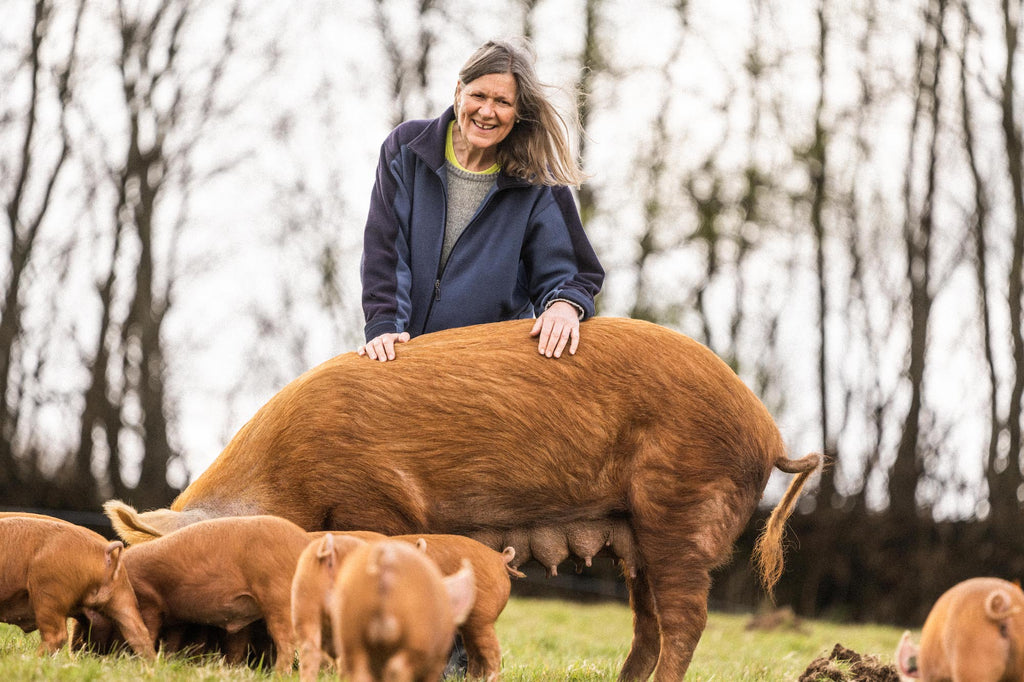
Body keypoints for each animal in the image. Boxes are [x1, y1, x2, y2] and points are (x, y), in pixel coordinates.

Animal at [0, 518, 154, 655]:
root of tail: (104, 550)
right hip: (122, 594)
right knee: (140, 633)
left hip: (49, 588)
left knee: (57, 635)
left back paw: (34, 658)